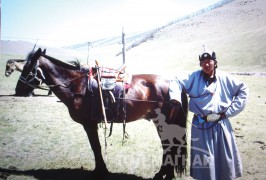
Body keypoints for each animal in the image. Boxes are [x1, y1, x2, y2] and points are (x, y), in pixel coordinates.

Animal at [15, 47, 188, 179]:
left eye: (27, 68)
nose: (18, 90)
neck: (78, 85)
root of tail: (174, 83)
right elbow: (96, 147)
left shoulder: (89, 124)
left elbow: (96, 147)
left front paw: (100, 171)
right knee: (170, 147)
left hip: (164, 123)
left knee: (169, 147)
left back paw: (163, 175)